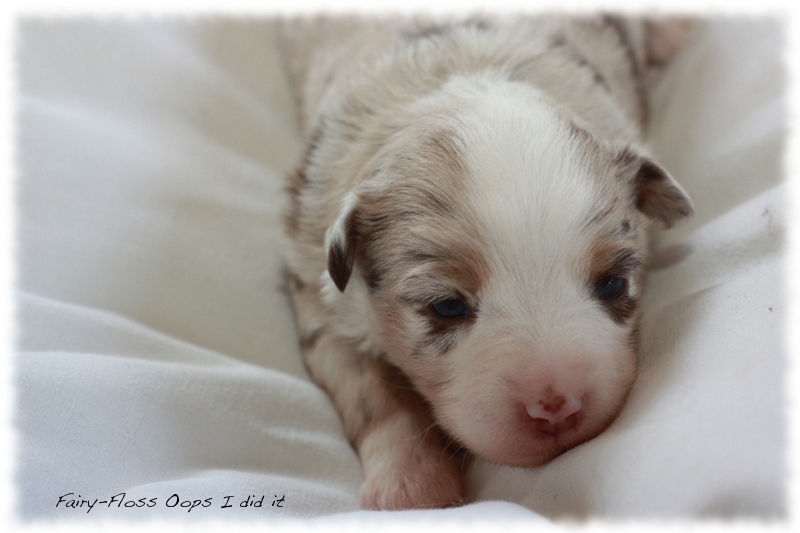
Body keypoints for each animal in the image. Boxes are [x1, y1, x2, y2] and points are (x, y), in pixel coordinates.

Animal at [280, 14, 692, 510]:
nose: (557, 409)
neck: (466, 76)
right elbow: (372, 392)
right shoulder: (317, 286)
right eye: (447, 306)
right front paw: (412, 485)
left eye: (613, 284)